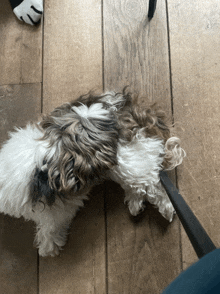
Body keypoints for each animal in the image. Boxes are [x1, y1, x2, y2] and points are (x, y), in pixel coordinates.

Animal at [0, 90, 186, 256]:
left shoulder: (52, 212)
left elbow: (49, 228)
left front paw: (48, 246)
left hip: (128, 161)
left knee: (153, 181)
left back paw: (166, 207)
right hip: (125, 164)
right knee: (145, 180)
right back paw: (136, 203)